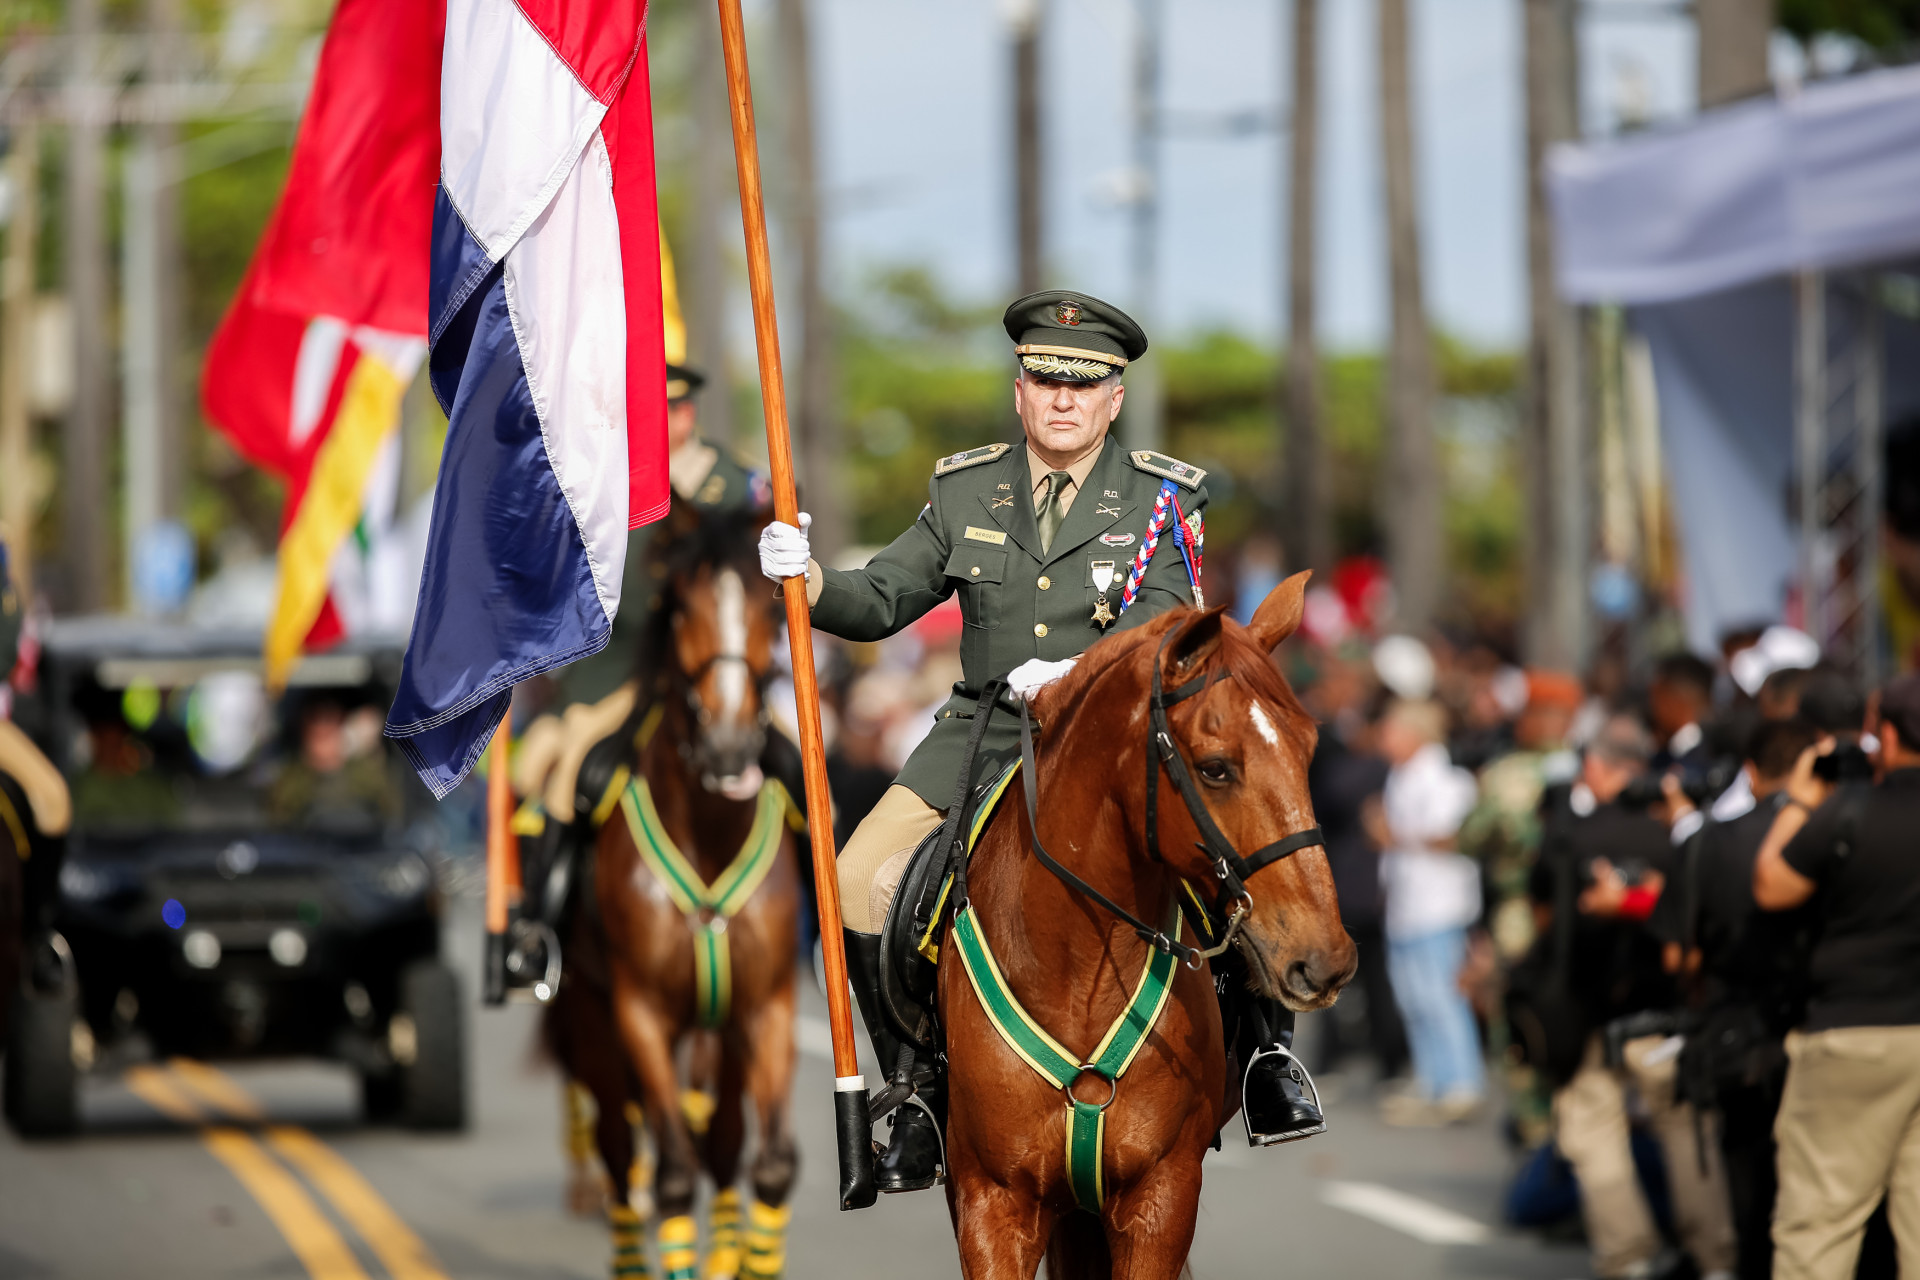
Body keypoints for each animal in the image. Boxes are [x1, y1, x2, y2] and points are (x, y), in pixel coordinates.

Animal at [545, 505, 802, 1280]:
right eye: (680, 606)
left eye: (769, 605)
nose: (728, 746)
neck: (709, 835)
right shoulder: (641, 1015)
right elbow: (673, 1178)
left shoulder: (766, 1005)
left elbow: (768, 1165)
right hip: (591, 1023)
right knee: (618, 1146)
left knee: (719, 1141)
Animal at [936, 573, 1356, 1279]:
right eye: (1215, 767)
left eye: (1309, 750)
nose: (1327, 959)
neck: (1078, 968)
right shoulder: (992, 1200)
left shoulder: (1162, 1196)